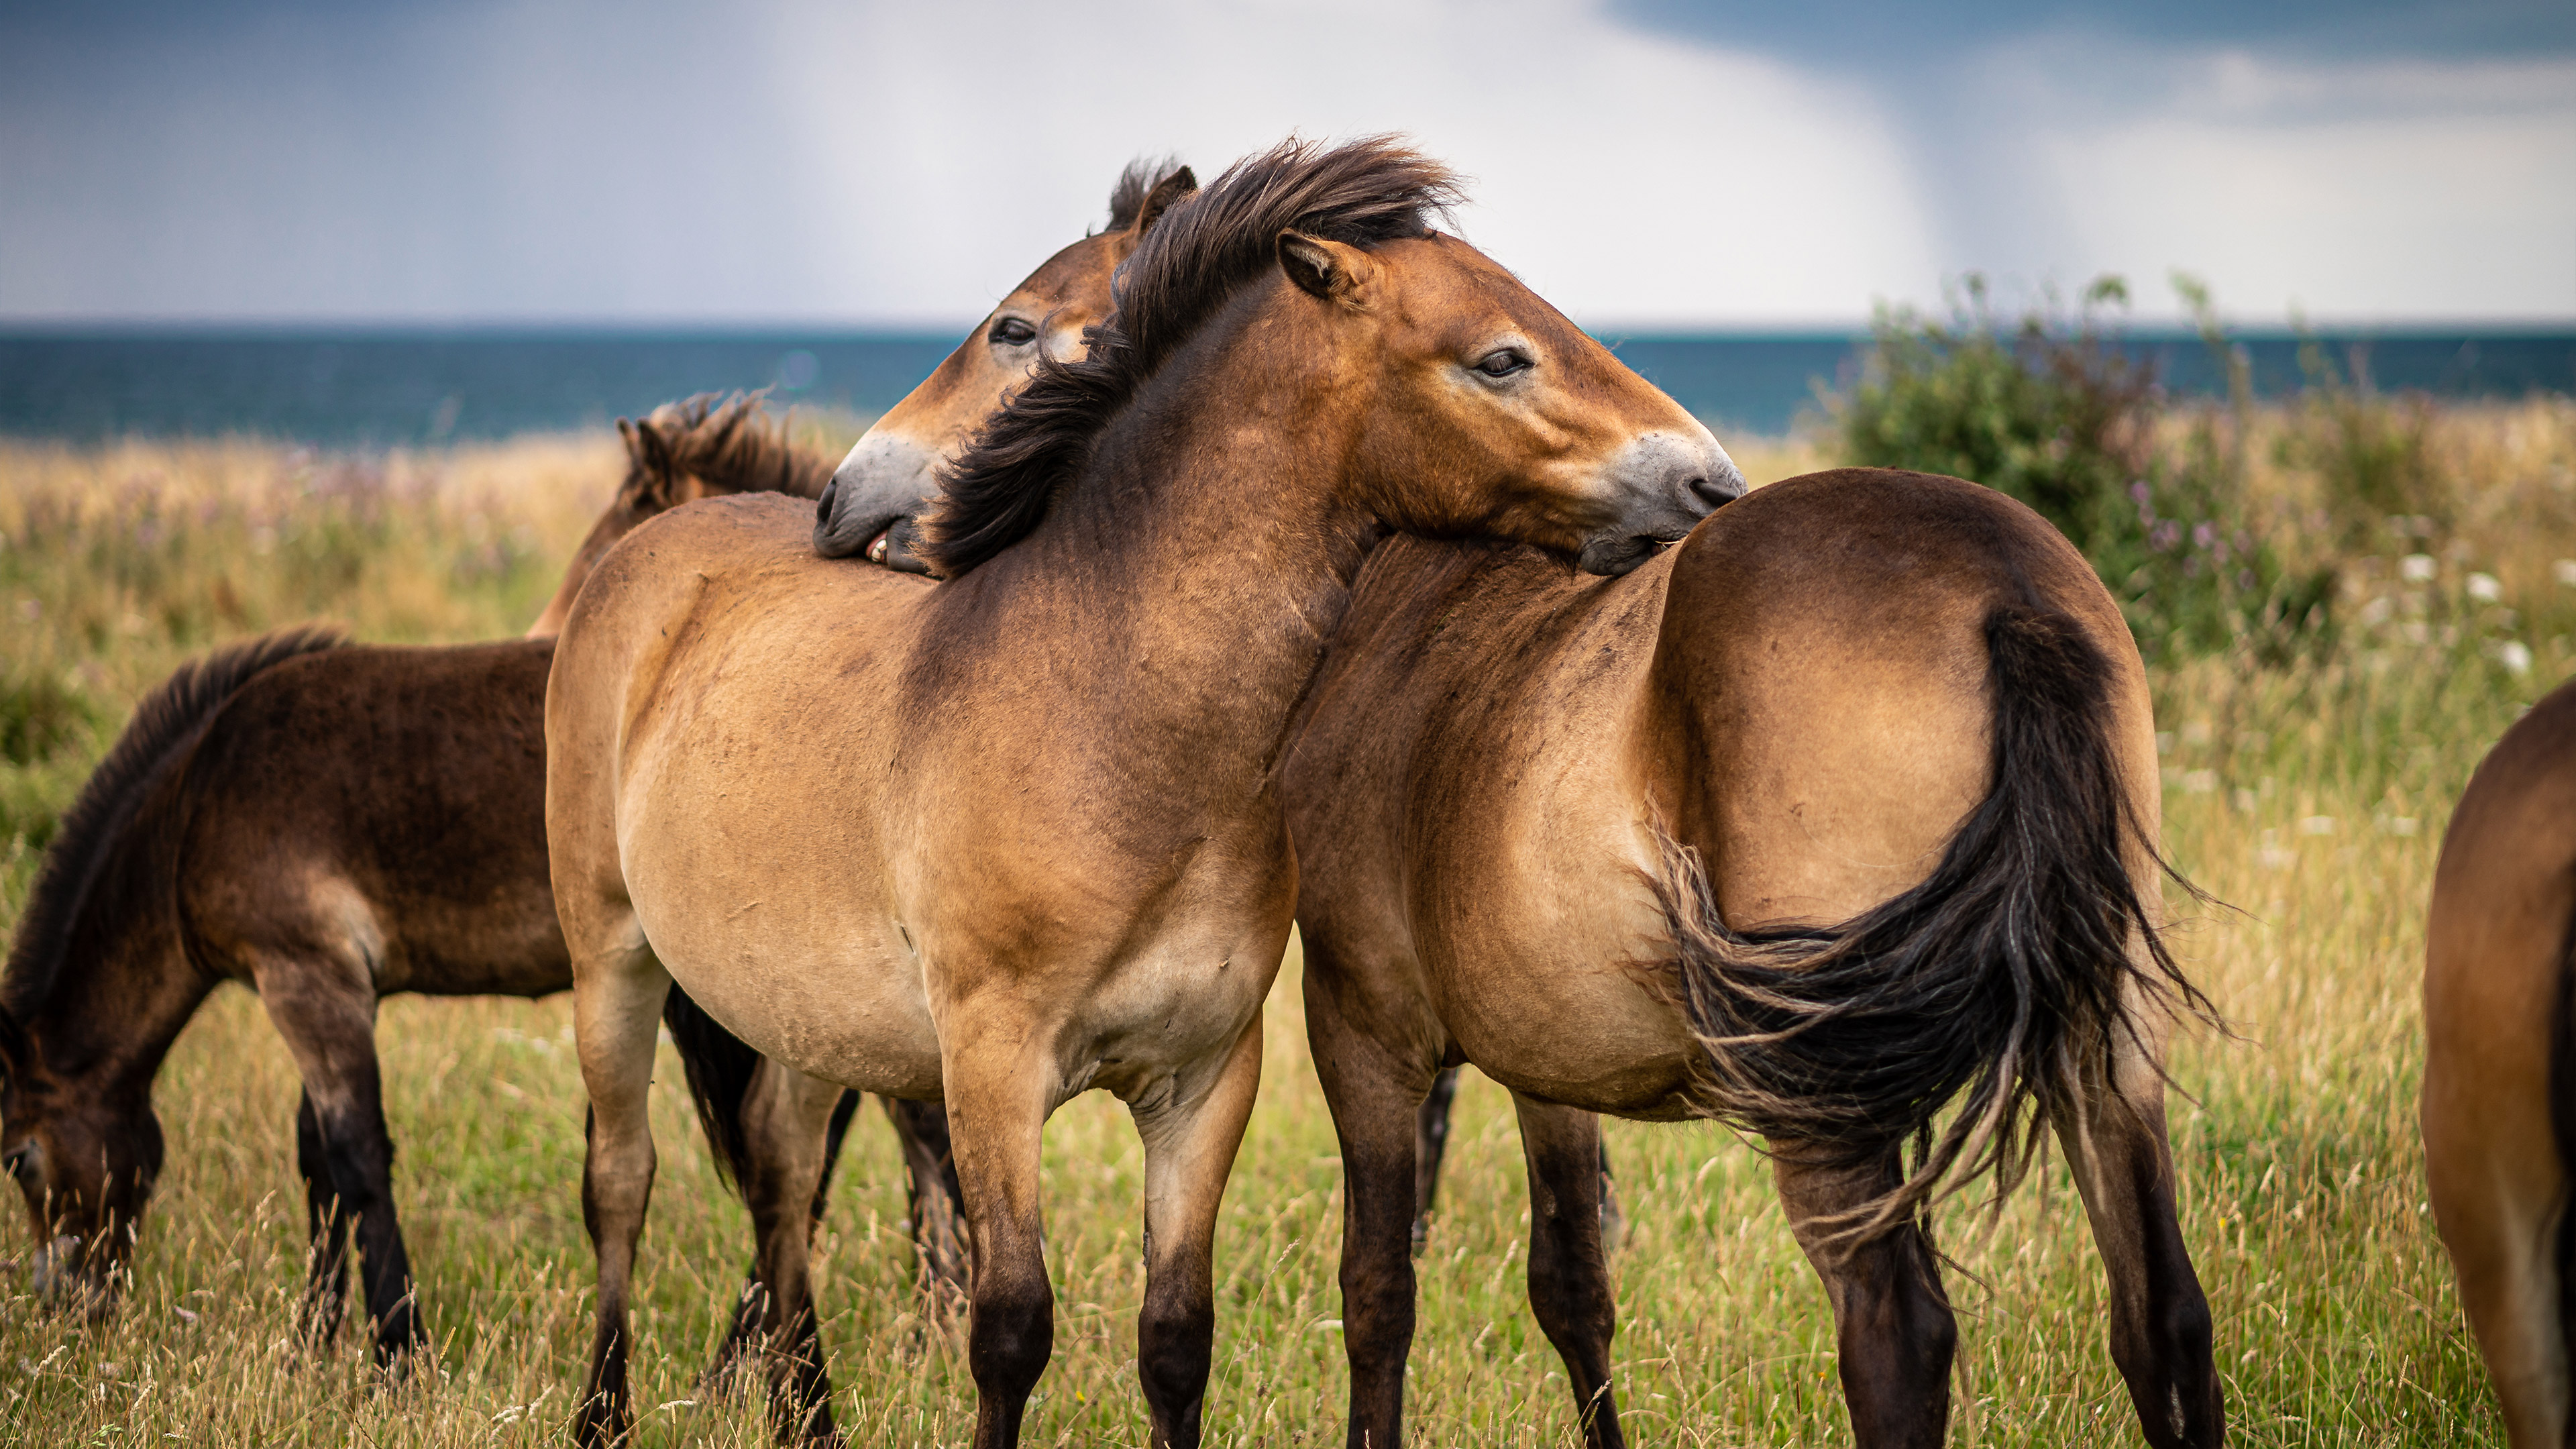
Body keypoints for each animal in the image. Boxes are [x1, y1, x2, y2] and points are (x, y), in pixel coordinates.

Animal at [0, 395, 864, 1387]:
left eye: (18, 1159)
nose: (66, 1305)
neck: (199, 802)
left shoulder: (306, 976)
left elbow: (356, 1157)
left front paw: (397, 1352)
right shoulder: (337, 985)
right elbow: (317, 1159)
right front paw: (314, 1339)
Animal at [542, 135, 1736, 1449]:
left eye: (1017, 328)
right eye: (1502, 357)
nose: (1710, 482)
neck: (1112, 728)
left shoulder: (1201, 1082)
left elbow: (1176, 1337)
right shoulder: (993, 1072)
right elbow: (1011, 1327)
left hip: (804, 1012)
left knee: (781, 1172)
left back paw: (808, 1418)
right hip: (612, 963)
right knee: (621, 1183)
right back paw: (603, 1415)